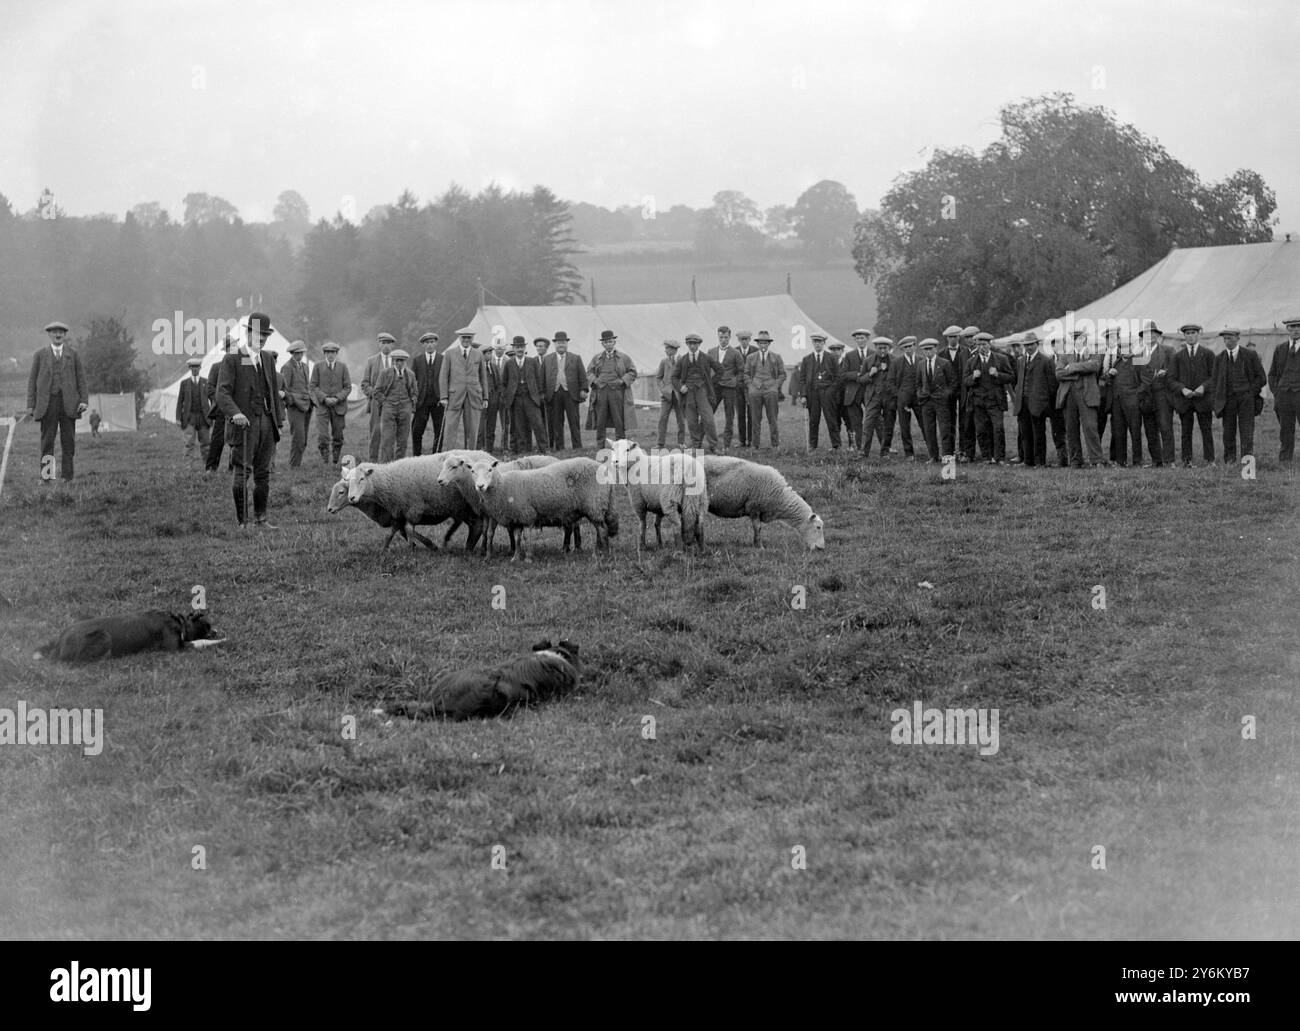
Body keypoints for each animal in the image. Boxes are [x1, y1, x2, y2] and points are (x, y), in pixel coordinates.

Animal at [335, 449, 488, 546]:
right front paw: (386, 547)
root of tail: (487, 454)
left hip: (467, 505)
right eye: (348, 481)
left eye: (361, 479)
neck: (389, 480)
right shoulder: (400, 511)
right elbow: (397, 530)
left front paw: (412, 550)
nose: (352, 498)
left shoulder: (412, 507)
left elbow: (408, 529)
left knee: (477, 525)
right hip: (461, 506)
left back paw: (468, 547)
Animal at [473, 455, 618, 559]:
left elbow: (525, 537)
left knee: (602, 530)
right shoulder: (518, 516)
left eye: (490, 470)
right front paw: (516, 557)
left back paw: (603, 554)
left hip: (594, 504)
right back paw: (596, 551)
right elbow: (518, 538)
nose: (480, 486)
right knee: (599, 529)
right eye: (472, 471)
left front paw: (528, 558)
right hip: (592, 507)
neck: (503, 485)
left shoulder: (526, 514)